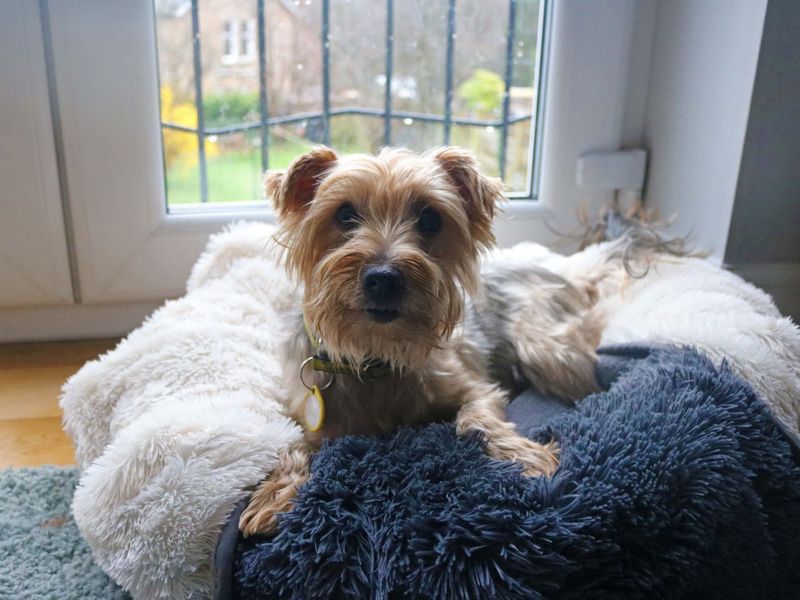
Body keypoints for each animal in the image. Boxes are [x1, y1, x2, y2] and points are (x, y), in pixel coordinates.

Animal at [238, 145, 600, 536]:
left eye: (430, 219)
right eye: (344, 214)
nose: (383, 277)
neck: (375, 352)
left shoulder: (474, 387)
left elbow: (477, 419)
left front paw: (524, 454)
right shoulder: (309, 413)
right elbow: (293, 443)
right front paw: (275, 494)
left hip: (546, 349)